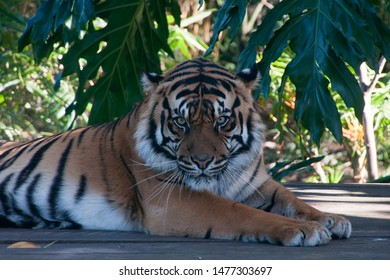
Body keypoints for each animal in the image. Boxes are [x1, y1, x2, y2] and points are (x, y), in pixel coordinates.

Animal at [0, 58, 352, 245]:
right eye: (180, 123)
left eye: (222, 121)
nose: (202, 162)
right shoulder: (174, 199)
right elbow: (241, 213)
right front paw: (304, 230)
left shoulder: (252, 183)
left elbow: (291, 199)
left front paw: (332, 220)